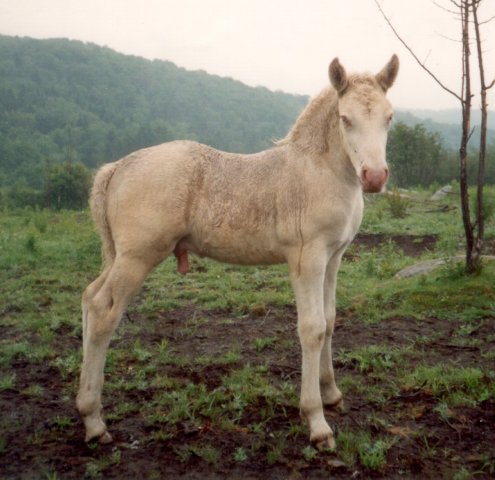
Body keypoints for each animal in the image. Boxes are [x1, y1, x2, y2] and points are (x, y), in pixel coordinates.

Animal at [76, 54, 400, 448]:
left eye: (389, 117)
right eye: (345, 118)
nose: (374, 177)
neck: (318, 171)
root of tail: (117, 168)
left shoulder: (334, 256)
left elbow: (330, 319)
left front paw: (332, 394)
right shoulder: (307, 257)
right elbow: (312, 327)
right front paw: (316, 421)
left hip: (121, 256)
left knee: (88, 297)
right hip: (138, 257)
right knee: (102, 310)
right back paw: (94, 420)